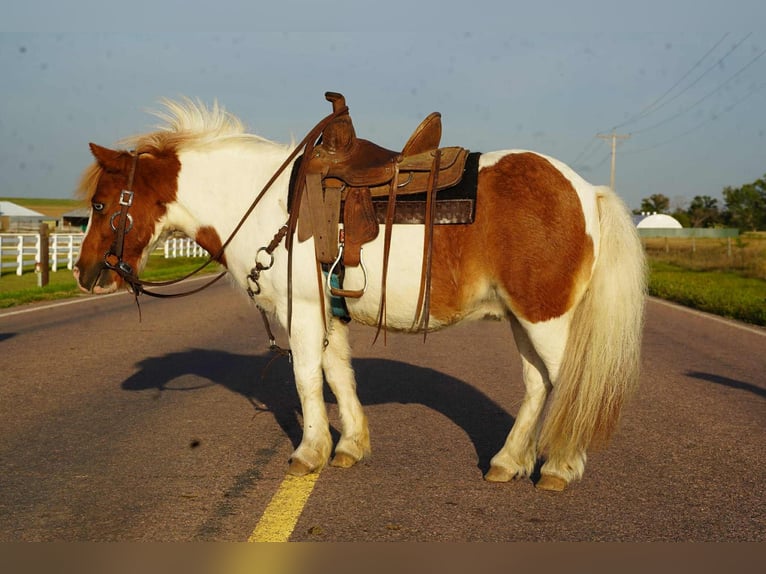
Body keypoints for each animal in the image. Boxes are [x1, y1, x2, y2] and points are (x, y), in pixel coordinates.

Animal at [73, 97, 646, 491]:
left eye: (101, 205)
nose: (84, 273)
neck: (267, 201)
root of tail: (586, 190)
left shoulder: (301, 311)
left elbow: (306, 377)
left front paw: (309, 452)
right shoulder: (328, 311)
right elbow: (338, 375)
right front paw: (349, 445)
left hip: (546, 318)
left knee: (569, 384)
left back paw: (561, 467)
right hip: (522, 318)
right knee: (536, 386)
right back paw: (509, 461)